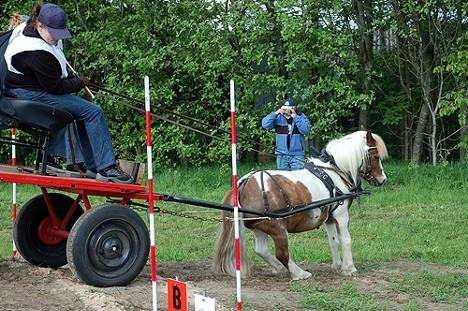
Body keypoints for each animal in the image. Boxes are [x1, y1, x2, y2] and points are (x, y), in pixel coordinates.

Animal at [215, 130, 388, 282]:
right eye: (375, 156)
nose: (383, 179)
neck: (334, 172)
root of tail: (243, 184)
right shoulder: (341, 215)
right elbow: (346, 241)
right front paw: (349, 269)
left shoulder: (329, 219)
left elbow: (333, 241)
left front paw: (337, 265)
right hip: (277, 228)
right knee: (282, 254)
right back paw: (299, 273)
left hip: (260, 226)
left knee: (262, 250)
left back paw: (279, 268)